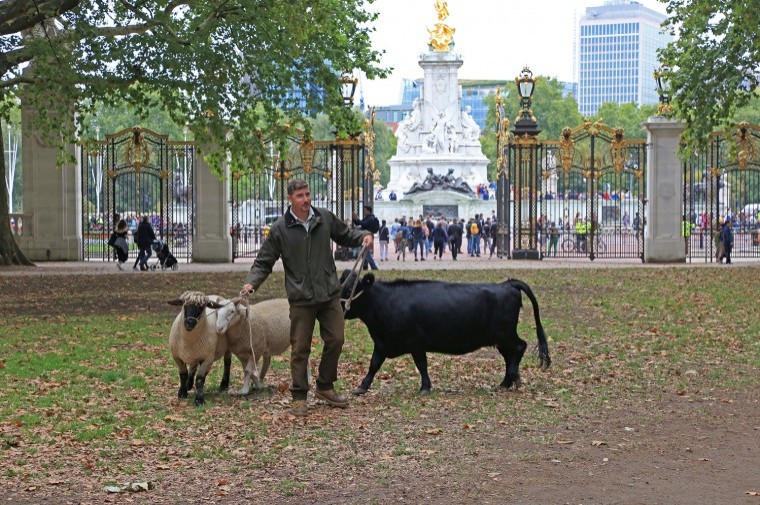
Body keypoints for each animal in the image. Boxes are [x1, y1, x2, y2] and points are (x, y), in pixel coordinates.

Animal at [342, 272, 548, 394]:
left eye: (350, 289)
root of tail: (507, 284)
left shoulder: (415, 342)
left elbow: (421, 365)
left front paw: (425, 387)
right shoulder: (382, 343)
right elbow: (374, 364)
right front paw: (362, 387)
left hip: (505, 334)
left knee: (520, 347)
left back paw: (514, 379)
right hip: (500, 338)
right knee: (509, 355)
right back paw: (506, 382)